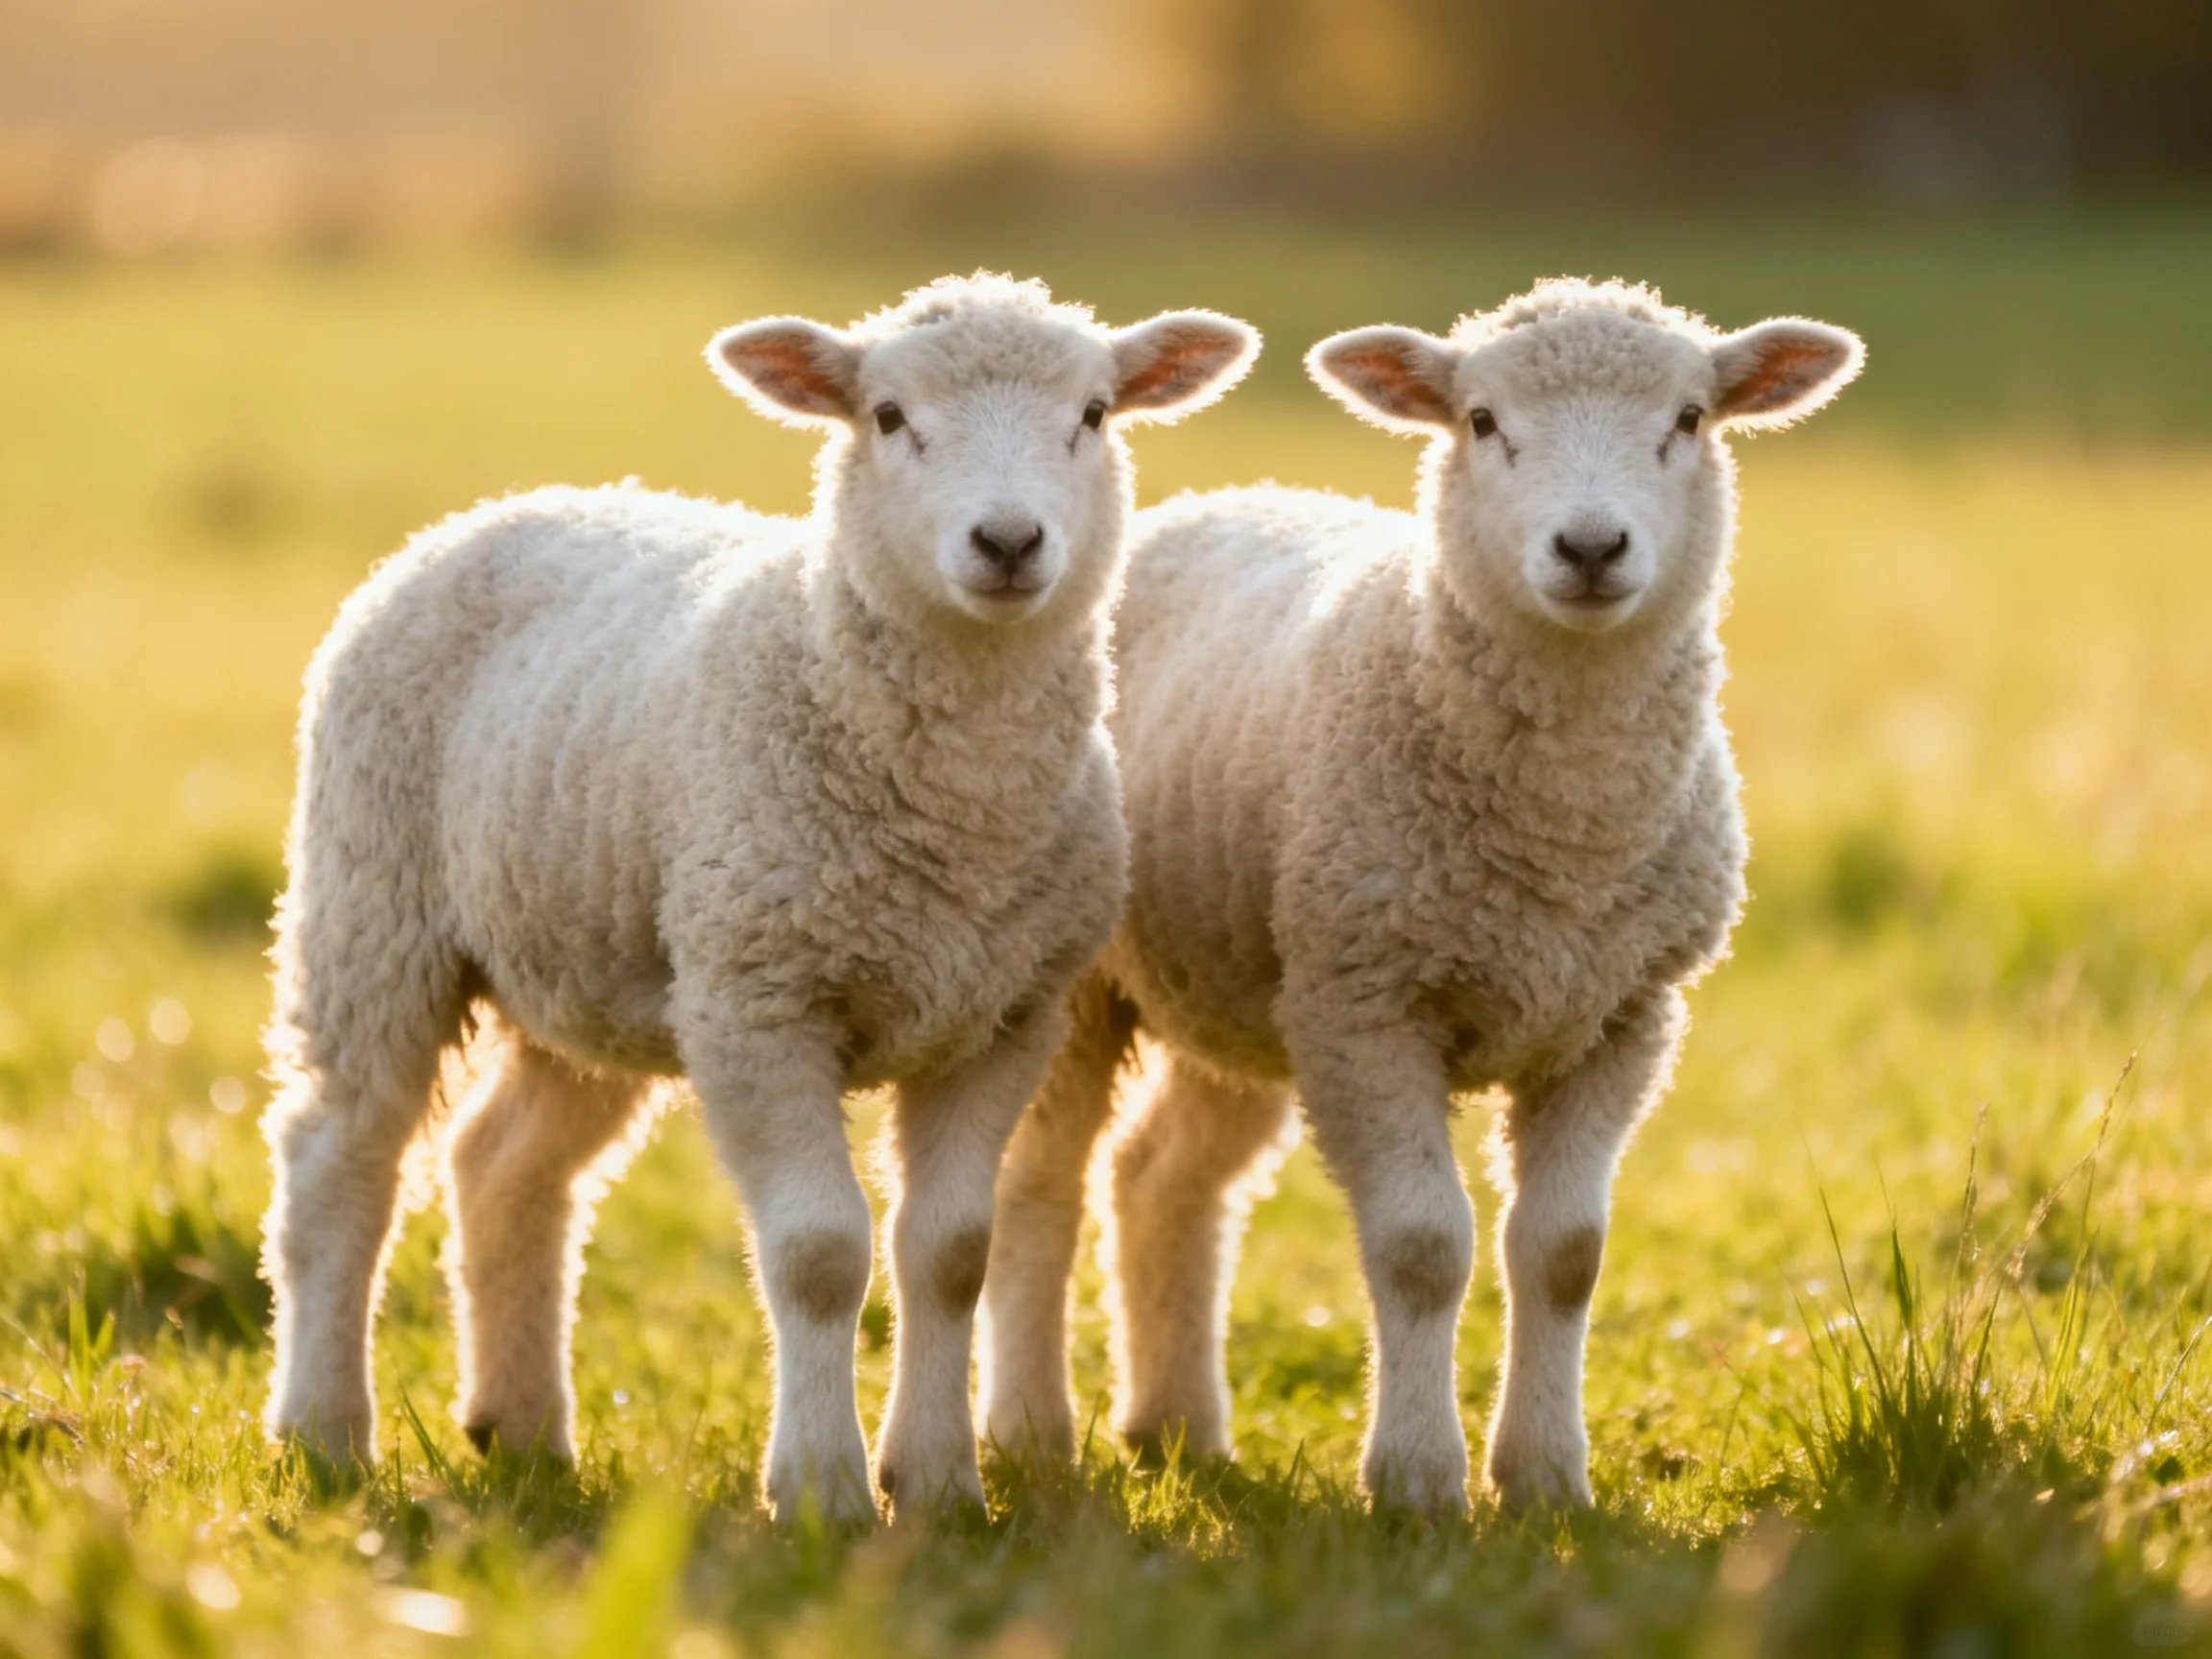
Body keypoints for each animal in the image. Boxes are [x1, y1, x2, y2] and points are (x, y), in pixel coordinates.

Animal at [258, 272, 1259, 1523]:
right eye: (887, 416)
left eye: (1093, 414)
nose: (1008, 540)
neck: (955, 808)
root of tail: (501, 507)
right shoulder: (760, 1002)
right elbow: (821, 1253)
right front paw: (822, 1489)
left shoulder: (1004, 1016)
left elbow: (951, 1253)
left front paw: (938, 1485)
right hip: (374, 903)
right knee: (337, 1157)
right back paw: (323, 1431)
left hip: (598, 962)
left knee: (504, 1163)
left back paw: (523, 1431)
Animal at [978, 278, 1862, 1512]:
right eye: (1482, 421)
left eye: (1690, 419)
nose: (1591, 546)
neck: (1566, 831)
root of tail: (1207, 500)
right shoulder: (1369, 1006)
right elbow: (1421, 1246)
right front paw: (1414, 1480)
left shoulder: (1621, 1016)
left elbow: (1564, 1252)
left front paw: (1544, 1477)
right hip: (1095, 981)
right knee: (1039, 1180)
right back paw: (1027, 1432)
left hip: (1243, 981)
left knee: (1161, 1176)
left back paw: (1177, 1427)